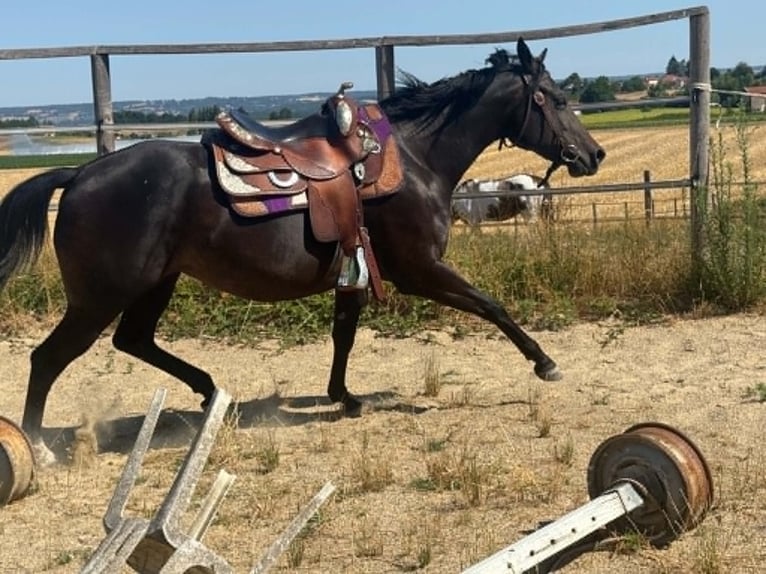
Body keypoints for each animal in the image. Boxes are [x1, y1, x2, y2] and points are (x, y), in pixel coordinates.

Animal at [0, 38, 604, 463]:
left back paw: (210, 391)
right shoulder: (420, 269)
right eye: (554, 99)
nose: (593, 154)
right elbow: (491, 306)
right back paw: (40, 448)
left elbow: (344, 334)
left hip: (155, 283)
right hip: (102, 295)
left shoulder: (357, 270)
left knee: (134, 340)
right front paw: (545, 363)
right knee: (48, 358)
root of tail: (79, 173)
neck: (411, 159)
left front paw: (344, 395)